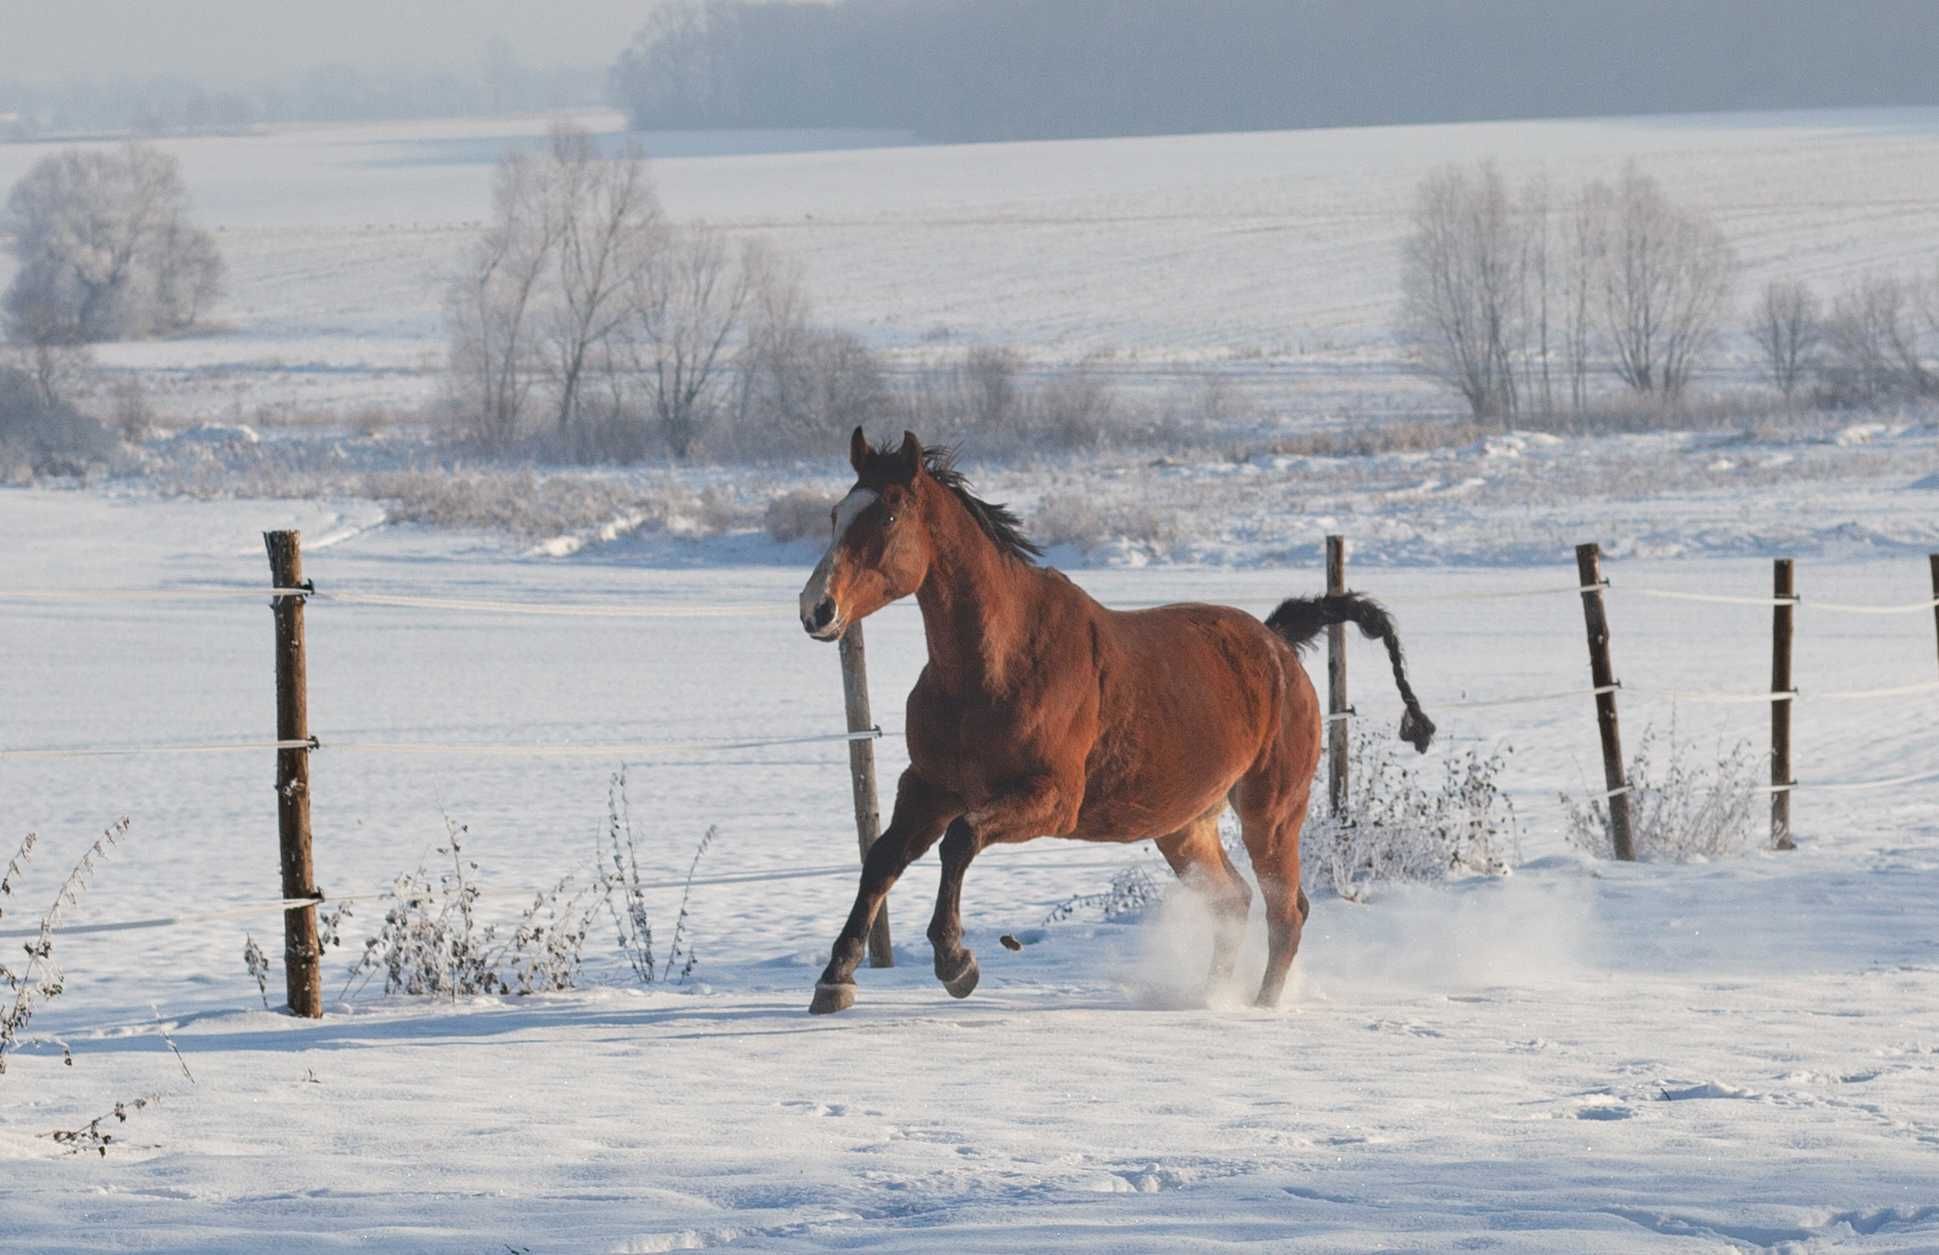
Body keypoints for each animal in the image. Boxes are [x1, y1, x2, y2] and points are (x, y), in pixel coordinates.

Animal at [794, 426, 1434, 1016]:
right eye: (836, 514)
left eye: (889, 513)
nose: (817, 610)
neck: (995, 666)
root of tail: (1279, 643)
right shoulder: (930, 785)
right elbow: (882, 859)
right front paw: (836, 978)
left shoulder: (1051, 798)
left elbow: (959, 842)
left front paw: (956, 963)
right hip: (1183, 824)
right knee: (1233, 901)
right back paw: (1209, 997)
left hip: (1271, 812)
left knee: (1287, 911)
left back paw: (1260, 1006)